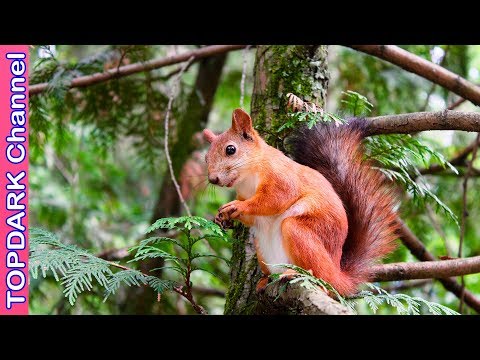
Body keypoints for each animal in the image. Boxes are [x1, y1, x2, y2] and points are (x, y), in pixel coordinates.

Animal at [204, 108, 400, 294]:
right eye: (206, 158)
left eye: (230, 149)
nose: (213, 179)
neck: (248, 178)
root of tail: (338, 274)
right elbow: (253, 217)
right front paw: (223, 217)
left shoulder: (282, 177)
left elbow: (275, 199)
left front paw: (239, 206)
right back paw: (265, 280)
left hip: (300, 233)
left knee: (321, 276)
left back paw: (299, 274)